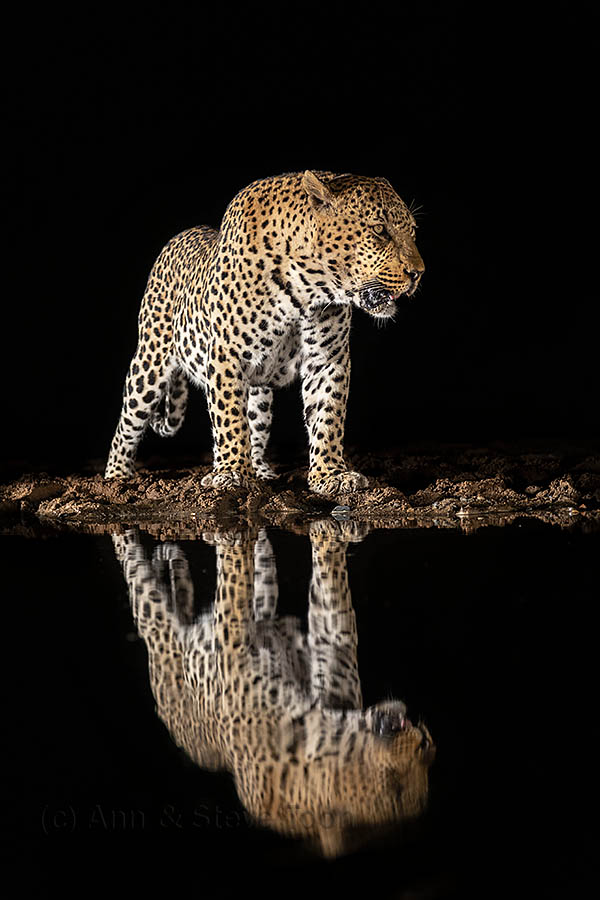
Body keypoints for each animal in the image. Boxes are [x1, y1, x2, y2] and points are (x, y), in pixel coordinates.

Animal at [105, 170, 424, 495]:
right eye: (379, 230)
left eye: (412, 230)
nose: (418, 273)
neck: (308, 289)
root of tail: (181, 236)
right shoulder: (225, 356)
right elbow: (230, 419)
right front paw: (232, 472)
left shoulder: (327, 360)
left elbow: (328, 417)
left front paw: (330, 474)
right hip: (149, 363)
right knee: (127, 423)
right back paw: (116, 477)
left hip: (259, 392)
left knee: (255, 426)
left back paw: (259, 471)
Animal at [112, 521, 435, 858]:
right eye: (397, 792)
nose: (422, 732)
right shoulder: (232, 643)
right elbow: (235, 582)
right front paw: (237, 540)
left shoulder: (331, 647)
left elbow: (333, 601)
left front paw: (325, 537)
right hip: (155, 620)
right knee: (135, 575)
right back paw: (127, 535)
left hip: (260, 602)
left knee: (261, 586)